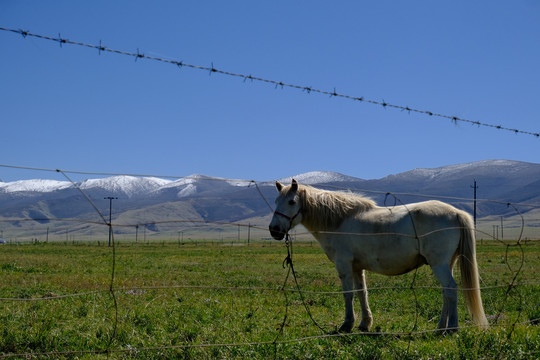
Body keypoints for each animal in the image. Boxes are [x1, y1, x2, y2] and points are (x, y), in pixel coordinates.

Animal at [268, 180, 490, 334]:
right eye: (276, 201)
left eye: (291, 201)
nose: (274, 230)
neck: (339, 221)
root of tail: (456, 212)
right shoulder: (357, 268)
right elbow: (361, 293)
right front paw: (364, 323)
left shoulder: (344, 266)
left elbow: (348, 294)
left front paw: (346, 324)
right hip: (446, 264)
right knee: (446, 292)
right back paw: (439, 327)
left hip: (440, 265)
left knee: (451, 289)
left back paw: (451, 329)